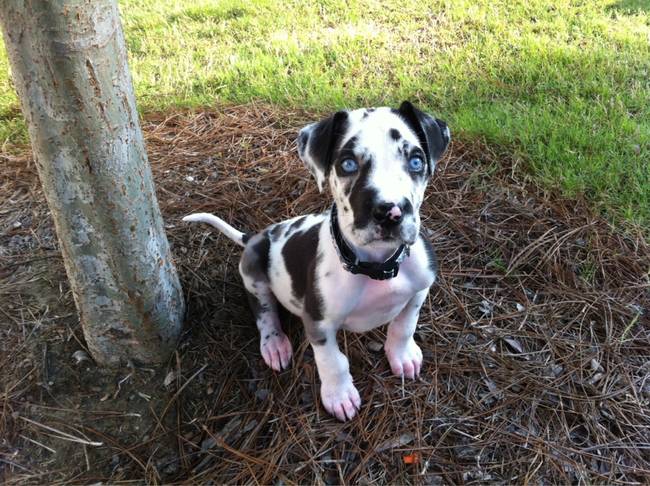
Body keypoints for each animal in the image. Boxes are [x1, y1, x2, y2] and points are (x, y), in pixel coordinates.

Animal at [181, 100, 446, 420]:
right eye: (348, 164)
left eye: (416, 161)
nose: (390, 213)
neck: (376, 267)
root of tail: (255, 235)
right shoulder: (318, 322)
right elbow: (332, 361)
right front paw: (339, 395)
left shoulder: (420, 288)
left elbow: (404, 325)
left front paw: (402, 355)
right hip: (253, 266)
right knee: (263, 311)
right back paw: (275, 343)